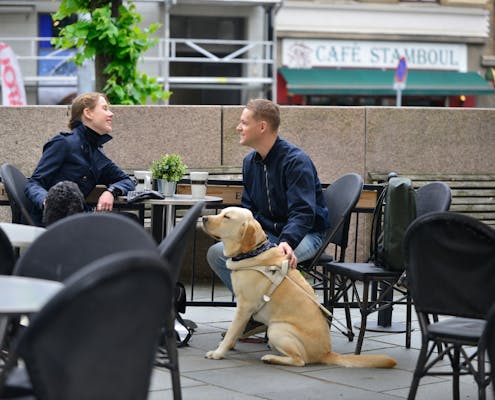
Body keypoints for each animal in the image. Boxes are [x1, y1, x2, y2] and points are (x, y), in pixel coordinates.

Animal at [201, 208, 396, 368]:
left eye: (226, 217)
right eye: (221, 213)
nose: (203, 217)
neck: (253, 252)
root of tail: (327, 353)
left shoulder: (244, 306)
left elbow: (232, 331)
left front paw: (219, 353)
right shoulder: (244, 309)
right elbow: (235, 331)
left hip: (277, 329)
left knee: (299, 360)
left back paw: (271, 358)